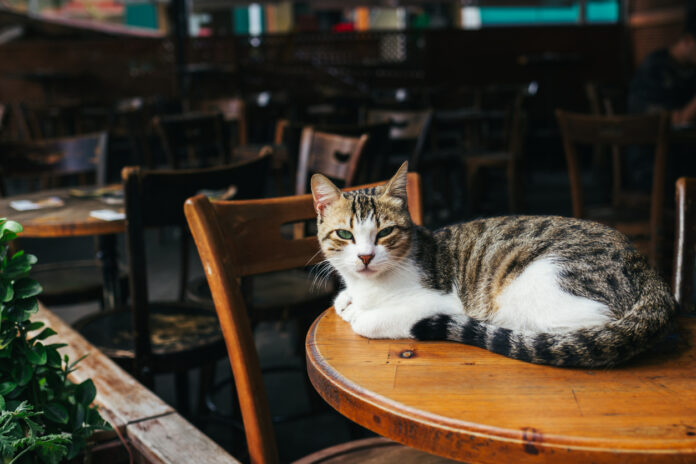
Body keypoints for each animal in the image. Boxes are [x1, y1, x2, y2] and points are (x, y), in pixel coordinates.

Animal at [312, 161, 680, 368]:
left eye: (385, 232)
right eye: (345, 234)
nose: (365, 256)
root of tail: (645, 268)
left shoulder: (443, 301)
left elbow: (368, 322)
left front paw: (361, 315)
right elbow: (344, 302)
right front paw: (346, 301)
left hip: (538, 281)